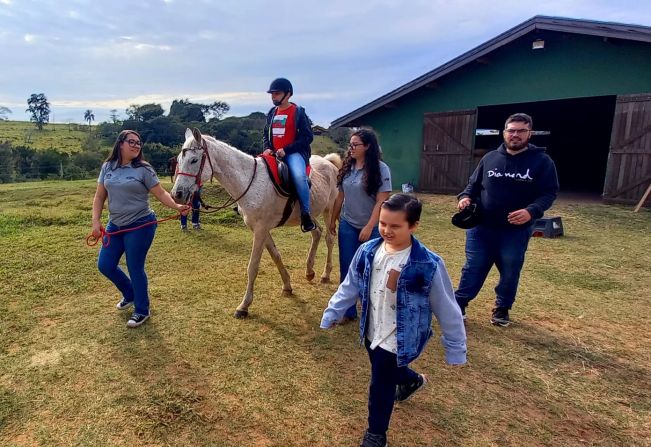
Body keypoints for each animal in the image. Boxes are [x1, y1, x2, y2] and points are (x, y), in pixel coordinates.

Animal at [171, 128, 344, 318]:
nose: (176, 194)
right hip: (309, 215)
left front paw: (244, 306)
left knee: (329, 238)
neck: (250, 183)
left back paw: (325, 274)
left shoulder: (260, 230)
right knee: (317, 232)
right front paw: (287, 286)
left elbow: (253, 266)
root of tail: (329, 163)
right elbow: (276, 255)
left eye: (194, 160)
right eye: (179, 161)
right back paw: (309, 271)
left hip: (329, 210)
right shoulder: (261, 228)